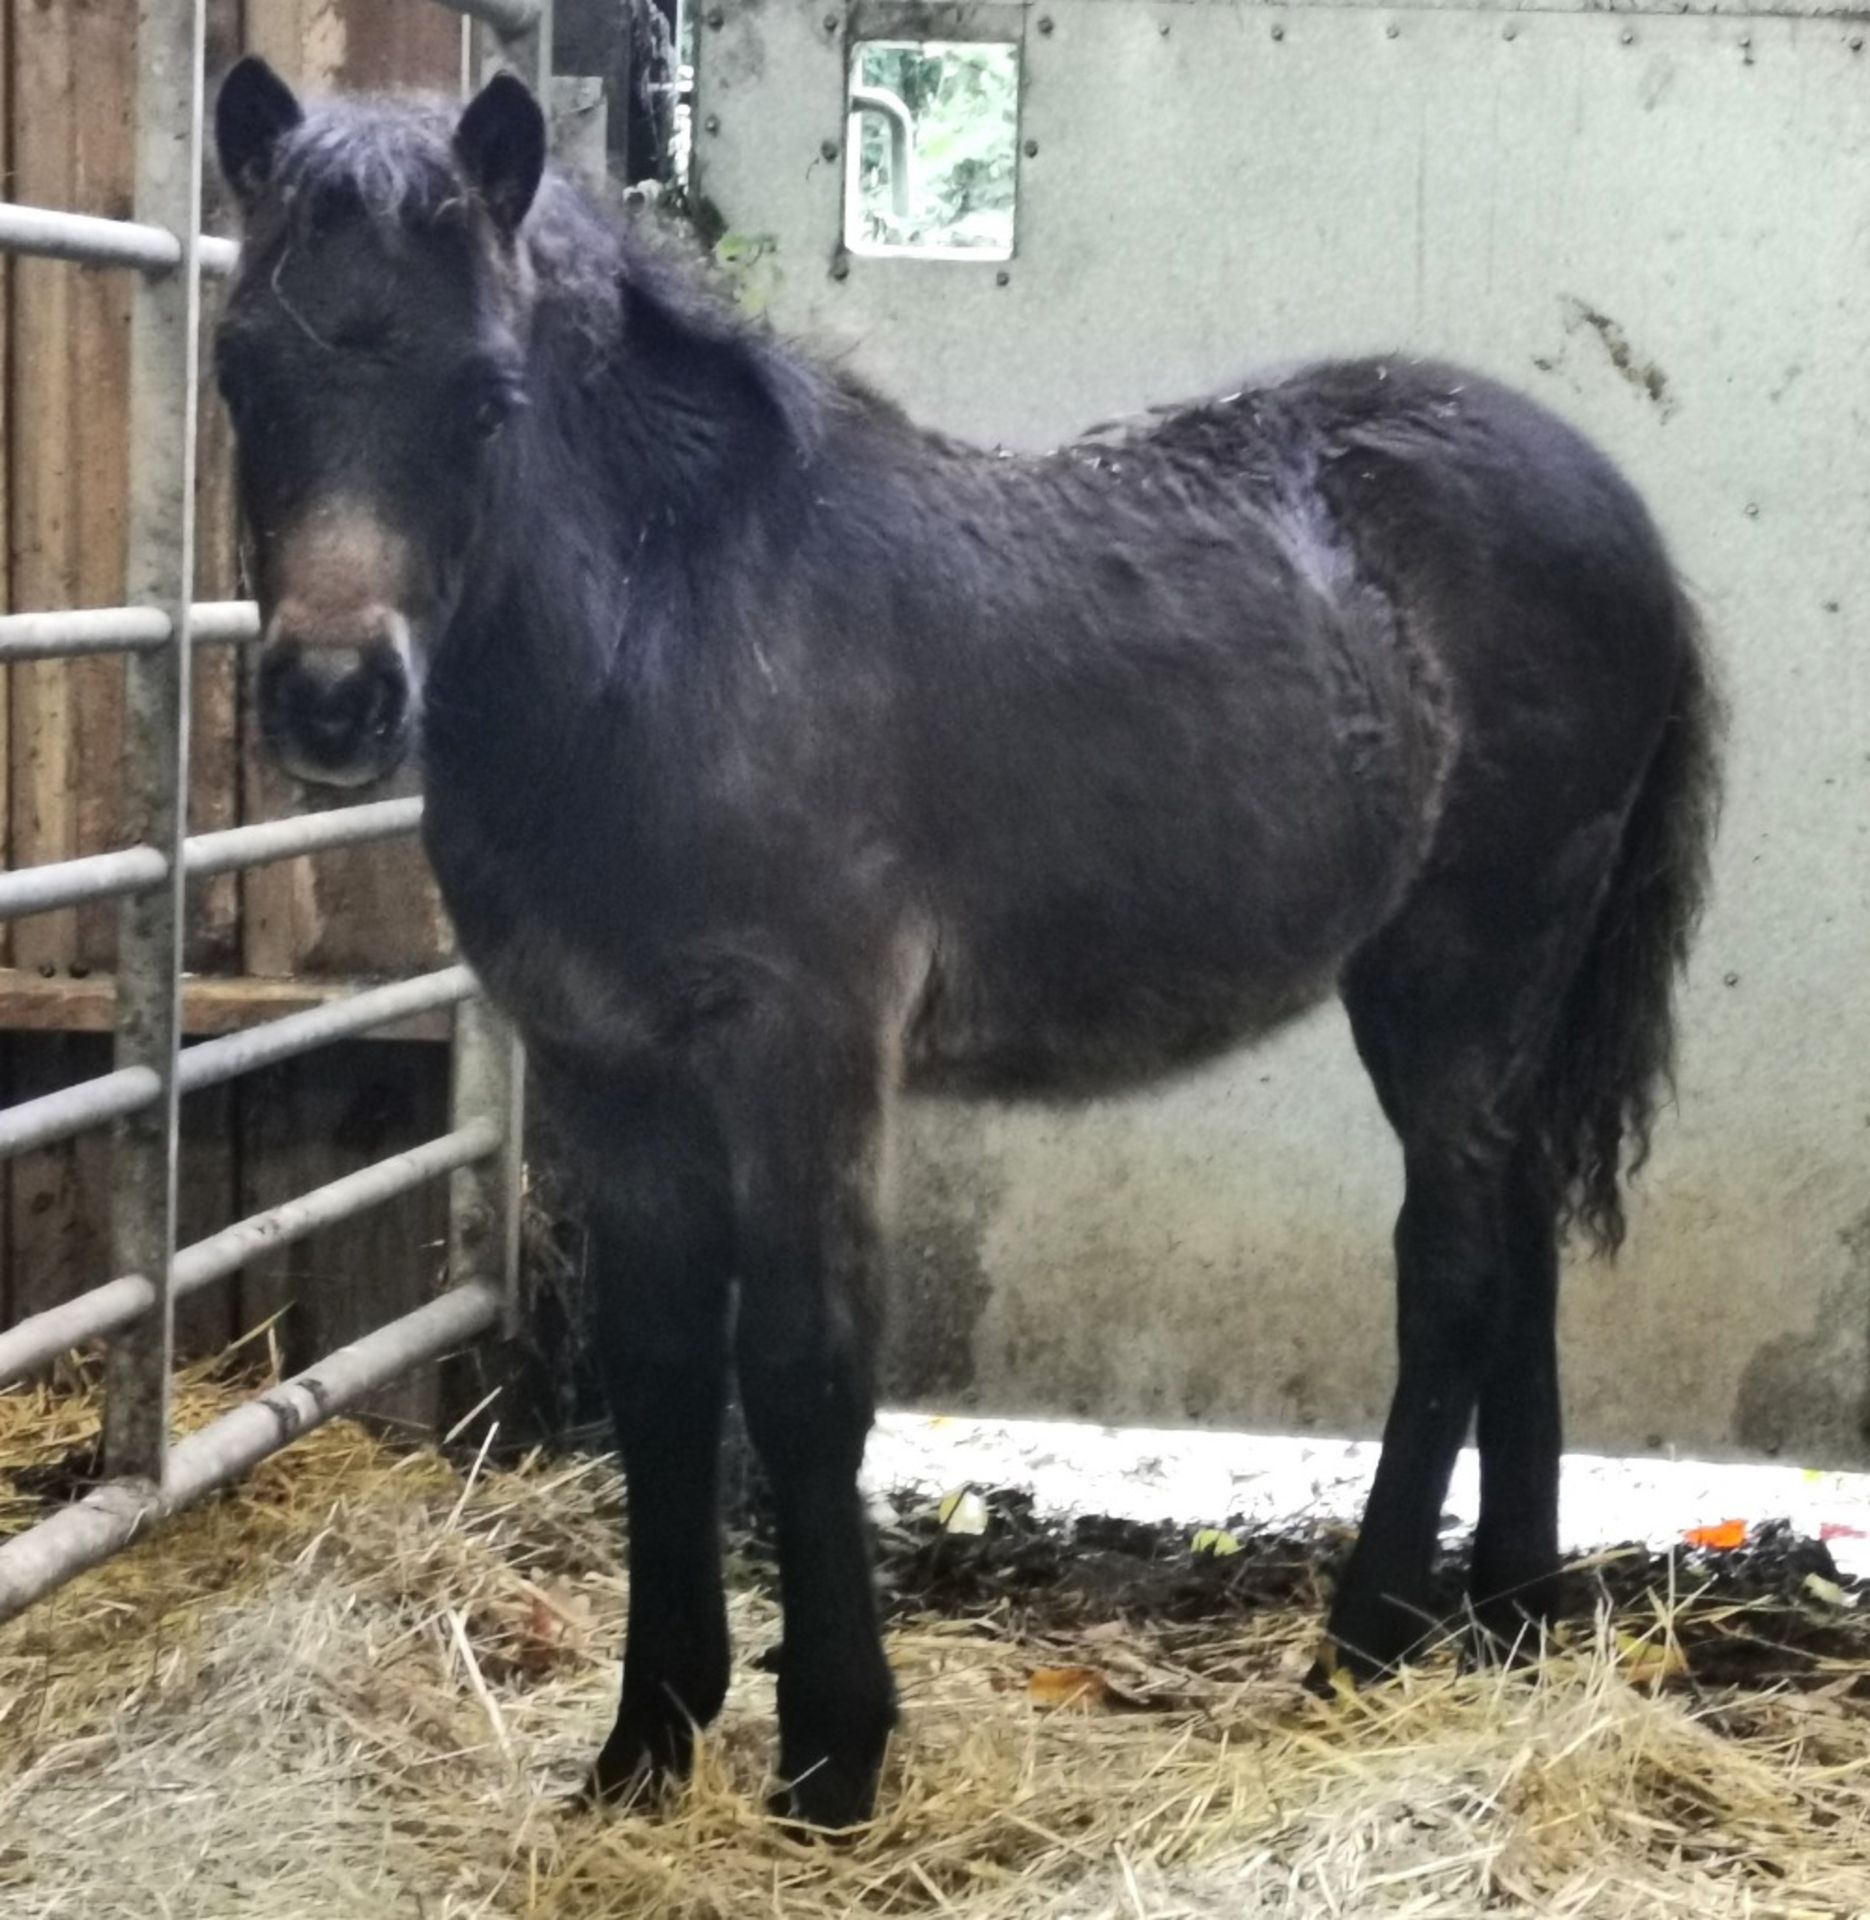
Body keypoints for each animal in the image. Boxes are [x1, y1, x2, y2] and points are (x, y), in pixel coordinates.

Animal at [212, 63, 1720, 1827]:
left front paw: (831, 1751)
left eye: (485, 397)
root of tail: (1613, 509)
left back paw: (1362, 1644)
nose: (332, 698)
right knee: (1521, 1245)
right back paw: (1509, 1625)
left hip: (1459, 973)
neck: (663, 642)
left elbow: (802, 1372)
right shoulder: (607, 1068)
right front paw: (648, 1740)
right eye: (242, 373)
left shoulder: (803, 1052)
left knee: (1456, 1270)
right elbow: (661, 1378)